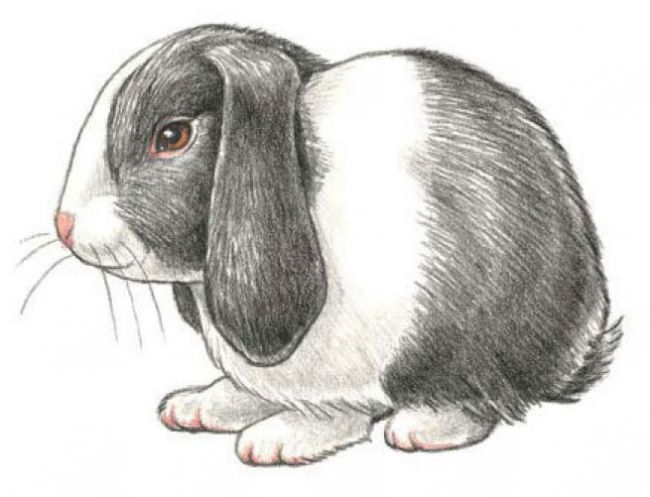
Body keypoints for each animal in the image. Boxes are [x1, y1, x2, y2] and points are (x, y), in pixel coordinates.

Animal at [55, 24, 621, 465]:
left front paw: (279, 440)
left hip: (465, 343)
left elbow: (344, 409)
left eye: (172, 136)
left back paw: (419, 428)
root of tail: (580, 345)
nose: (63, 224)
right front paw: (203, 407)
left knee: (480, 397)